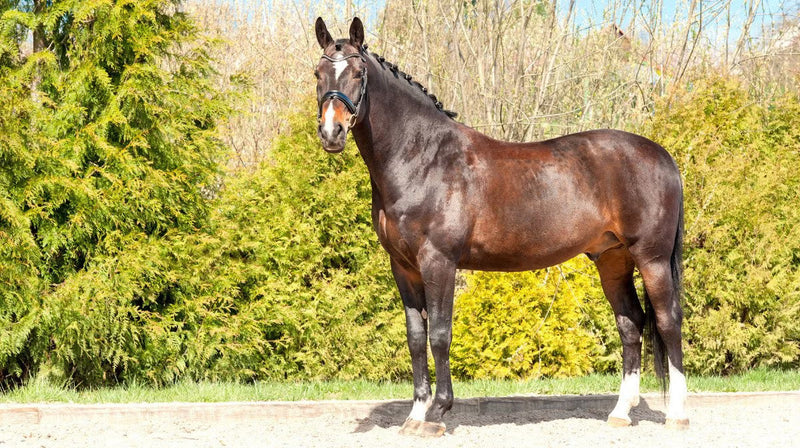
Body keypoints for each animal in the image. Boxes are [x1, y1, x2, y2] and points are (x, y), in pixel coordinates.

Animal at [313, 17, 688, 436]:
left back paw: (677, 414)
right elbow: (415, 337)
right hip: (612, 260)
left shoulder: (438, 262)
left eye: (358, 73)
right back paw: (621, 412)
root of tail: (662, 156)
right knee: (630, 325)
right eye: (319, 73)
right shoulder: (403, 267)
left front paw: (438, 412)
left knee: (668, 321)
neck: (423, 159)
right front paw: (416, 415)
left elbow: (440, 335)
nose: (331, 133)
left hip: (652, 258)